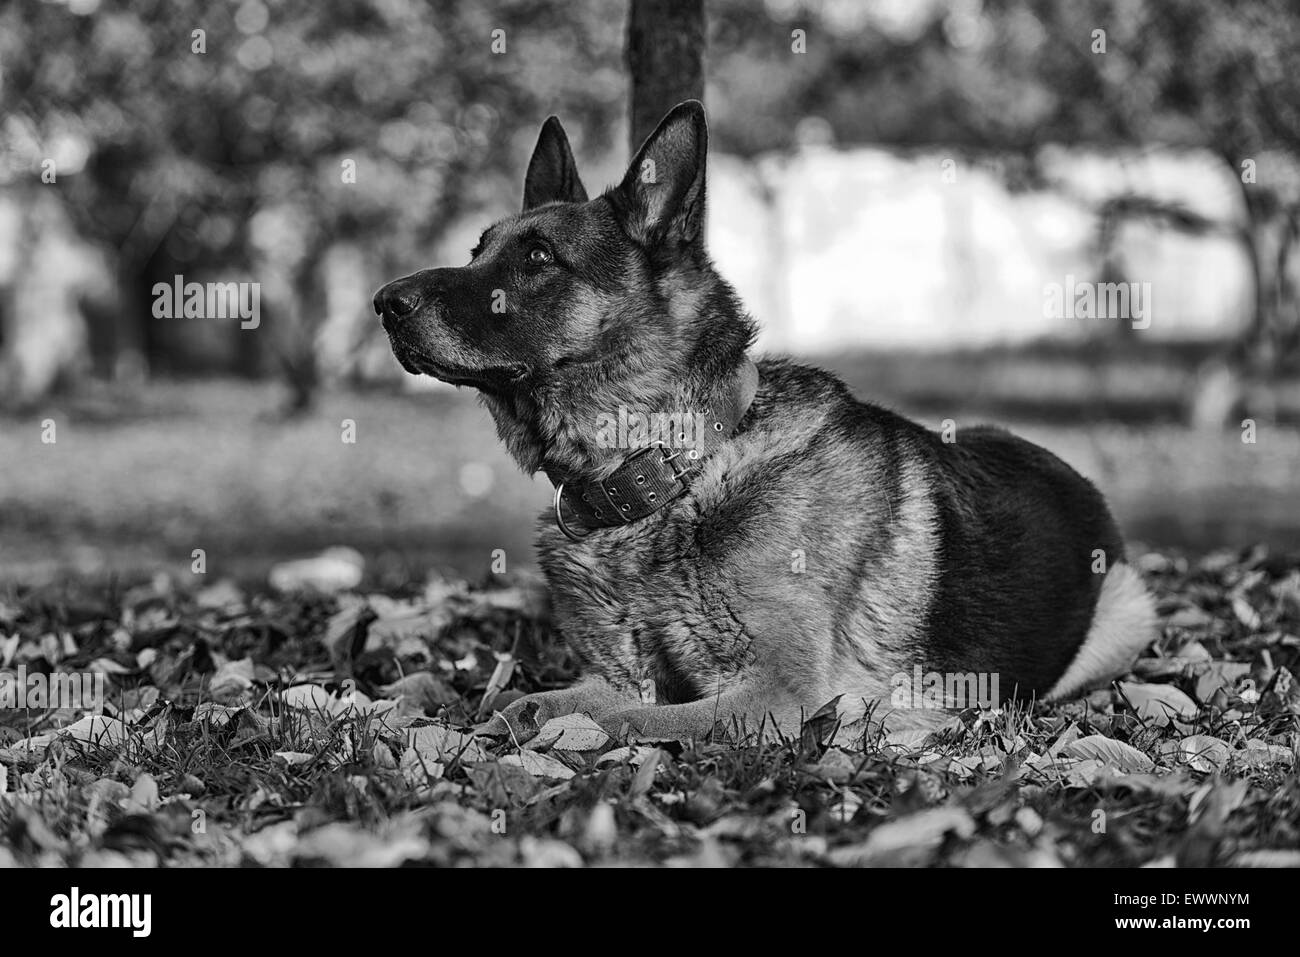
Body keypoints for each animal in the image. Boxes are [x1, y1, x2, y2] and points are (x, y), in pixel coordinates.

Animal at [377, 104, 1159, 743]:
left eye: (538, 257)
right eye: (478, 250)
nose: (385, 302)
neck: (672, 471)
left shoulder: (773, 695)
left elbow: (625, 719)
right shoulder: (616, 671)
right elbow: (538, 698)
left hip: (1127, 611)